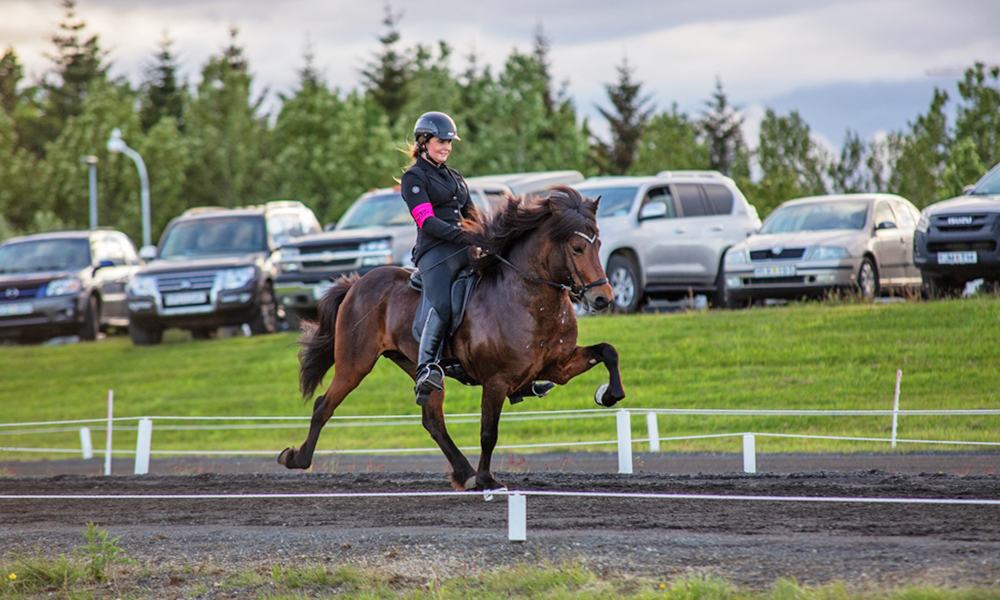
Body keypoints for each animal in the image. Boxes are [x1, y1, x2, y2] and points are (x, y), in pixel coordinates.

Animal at [278, 185, 624, 490]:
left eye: (598, 245)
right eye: (577, 248)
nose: (603, 299)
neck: (529, 300)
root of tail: (357, 283)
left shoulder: (558, 366)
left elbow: (609, 351)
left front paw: (609, 395)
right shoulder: (496, 380)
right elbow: (488, 432)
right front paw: (488, 480)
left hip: (420, 368)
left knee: (433, 420)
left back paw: (464, 473)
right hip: (355, 363)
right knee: (324, 406)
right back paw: (296, 458)